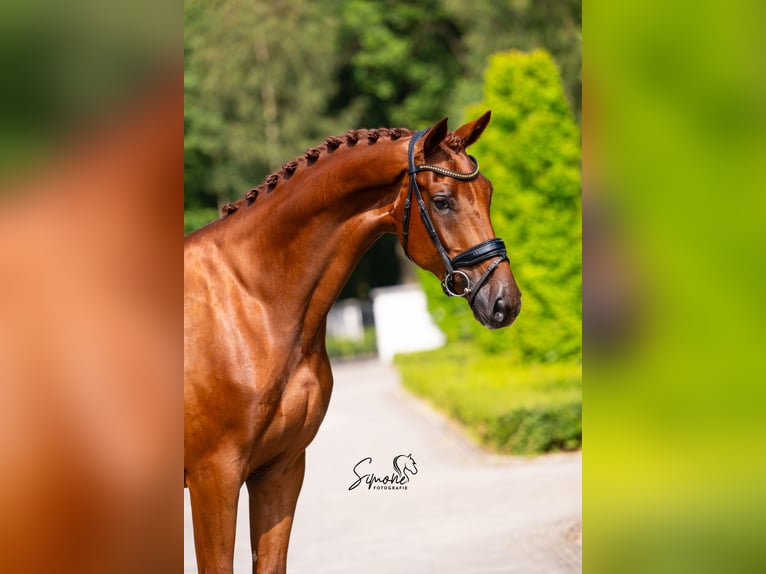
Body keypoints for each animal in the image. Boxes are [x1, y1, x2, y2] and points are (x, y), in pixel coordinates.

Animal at [184, 113, 520, 574]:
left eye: (487, 192)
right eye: (442, 201)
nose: (505, 302)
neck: (250, 299)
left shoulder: (281, 469)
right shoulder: (214, 477)